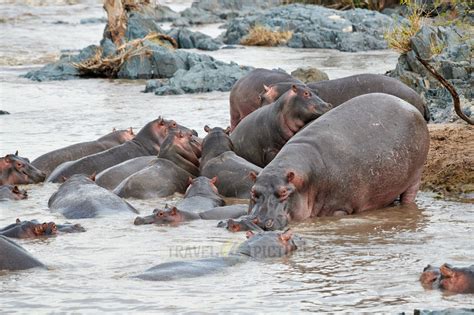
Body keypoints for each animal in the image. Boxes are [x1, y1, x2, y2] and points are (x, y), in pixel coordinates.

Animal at [248, 92, 430, 231]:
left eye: (284, 192)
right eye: (253, 192)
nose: (260, 222)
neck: (306, 180)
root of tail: (411, 106)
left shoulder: (340, 207)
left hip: (416, 175)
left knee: (409, 197)